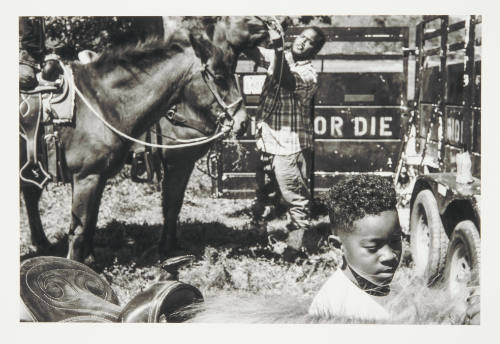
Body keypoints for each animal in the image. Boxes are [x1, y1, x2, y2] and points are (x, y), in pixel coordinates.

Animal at [22, 27, 250, 264]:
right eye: (219, 78)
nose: (243, 121)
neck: (100, 105)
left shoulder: (97, 177)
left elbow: (91, 222)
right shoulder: (90, 176)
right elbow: (81, 229)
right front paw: (168, 250)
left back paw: (42, 243)